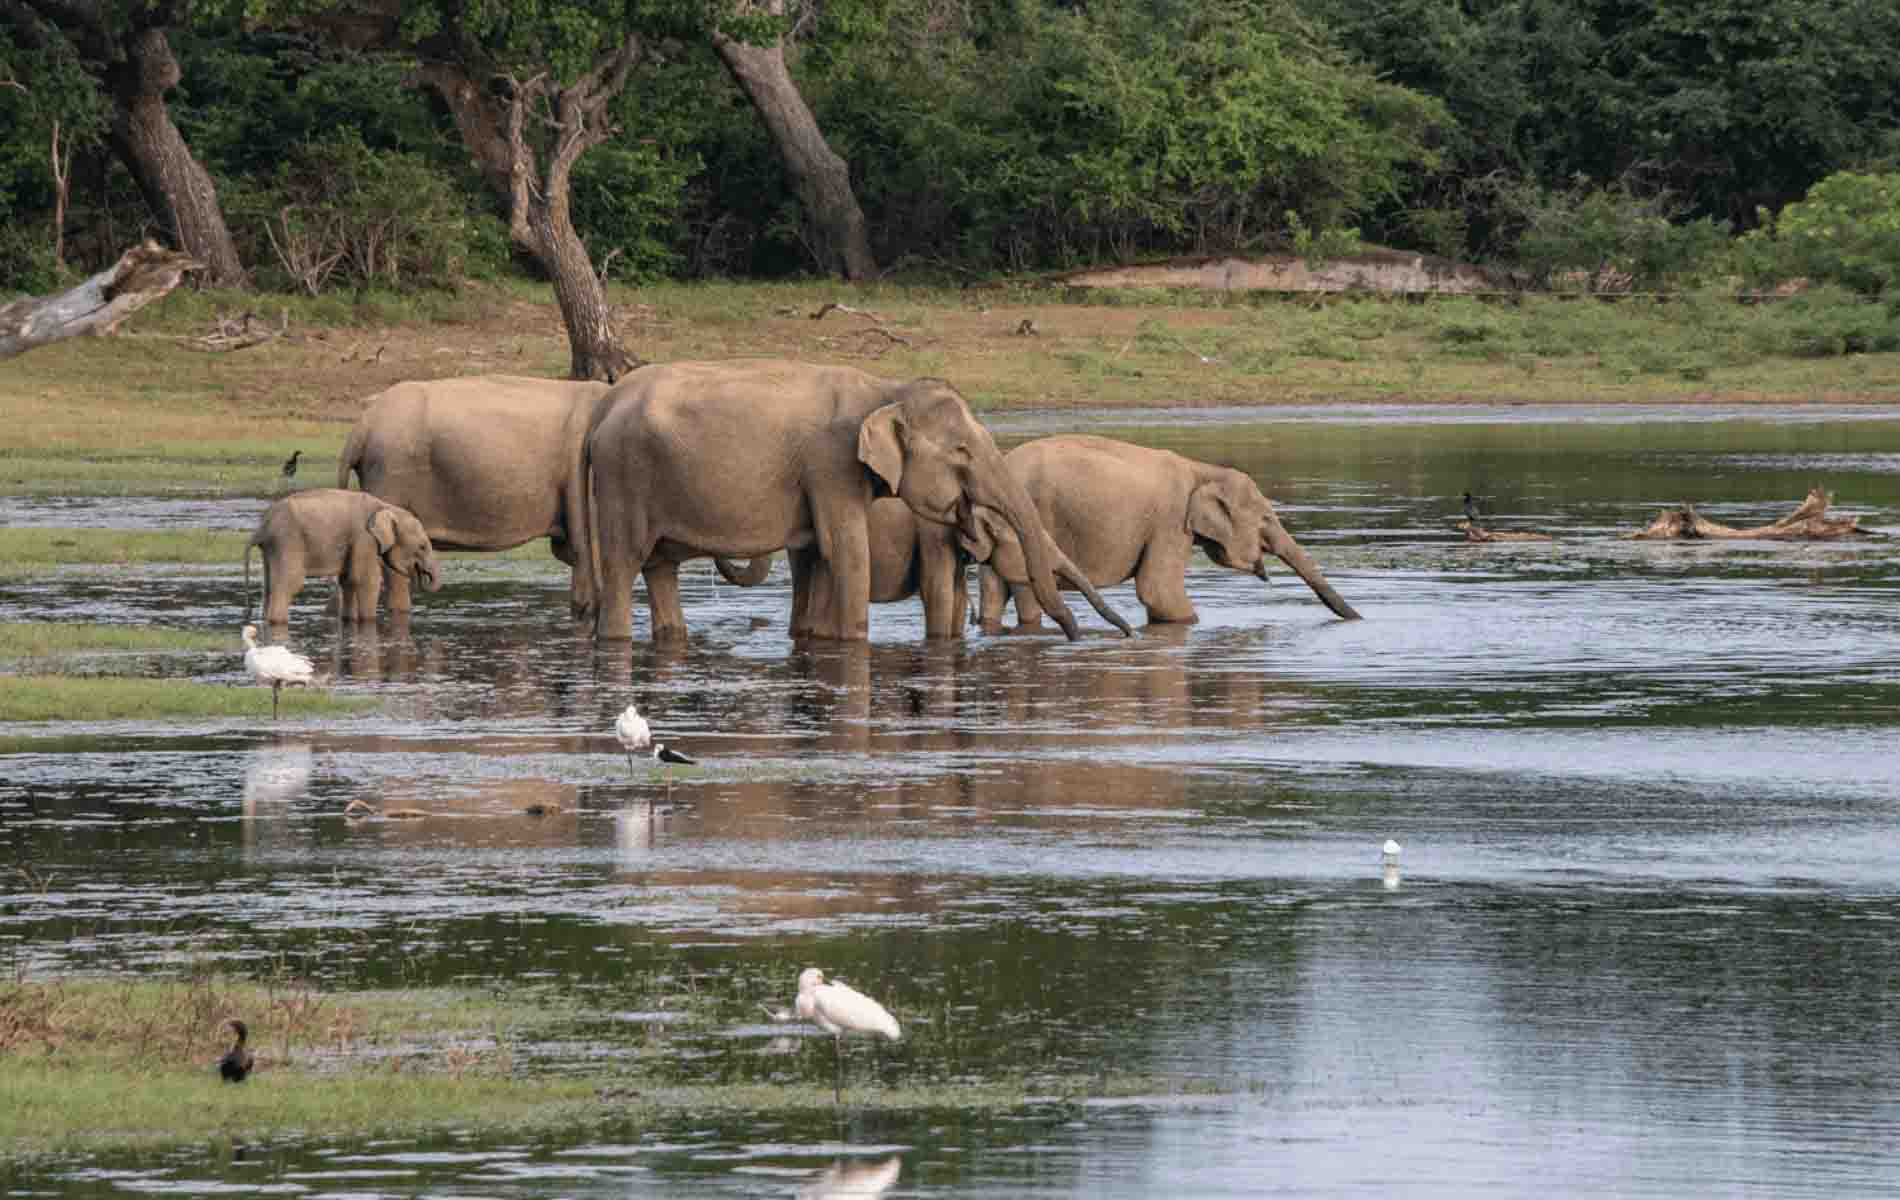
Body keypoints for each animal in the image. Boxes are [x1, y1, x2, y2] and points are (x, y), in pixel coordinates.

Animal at [241, 486, 437, 622]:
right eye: (422, 547)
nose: (424, 577)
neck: (385, 506)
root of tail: (262, 526)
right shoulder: (364, 538)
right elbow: (367, 580)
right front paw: (369, 622)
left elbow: (348, 580)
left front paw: (349, 620)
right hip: (287, 541)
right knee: (289, 584)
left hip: (272, 548)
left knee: (269, 586)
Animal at [577, 358, 1086, 641]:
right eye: (962, 452)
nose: (1075, 634)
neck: (886, 389)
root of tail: (601, 407)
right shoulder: (831, 465)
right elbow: (846, 550)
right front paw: (855, 641)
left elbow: (818, 553)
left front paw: (817, 637)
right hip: (624, 477)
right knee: (624, 566)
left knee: (660, 569)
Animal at [972, 438, 1360, 626]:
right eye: (1266, 519)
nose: (1360, 620)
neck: (1203, 469)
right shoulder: (1170, 521)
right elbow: (1158, 591)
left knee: (994, 589)